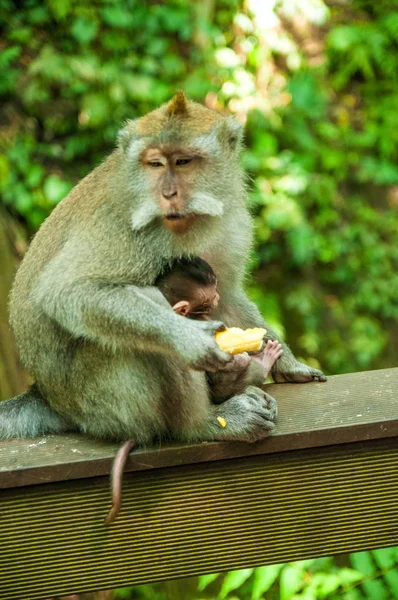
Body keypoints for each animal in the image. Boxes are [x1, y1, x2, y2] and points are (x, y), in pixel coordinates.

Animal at [2, 90, 324, 446]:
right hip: (101, 400)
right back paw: (203, 423)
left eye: (183, 161)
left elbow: (227, 295)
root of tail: (48, 396)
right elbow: (66, 290)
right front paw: (191, 339)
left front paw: (287, 362)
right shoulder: (126, 227)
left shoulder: (231, 222)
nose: (168, 193)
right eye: (155, 163)